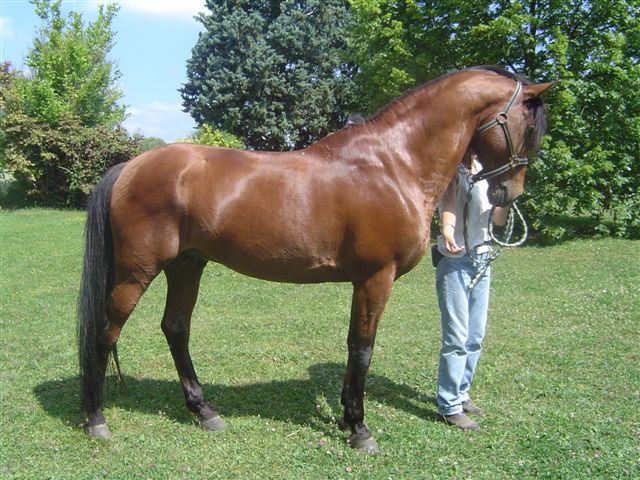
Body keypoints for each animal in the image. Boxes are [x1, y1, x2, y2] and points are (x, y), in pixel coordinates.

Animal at [78, 66, 553, 452]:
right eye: (527, 126)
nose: (508, 195)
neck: (392, 164)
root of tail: (130, 166)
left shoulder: (364, 281)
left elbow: (353, 347)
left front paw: (345, 415)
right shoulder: (375, 278)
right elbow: (362, 348)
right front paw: (359, 429)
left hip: (187, 265)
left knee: (175, 328)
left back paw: (204, 411)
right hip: (137, 272)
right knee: (105, 331)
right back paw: (96, 419)